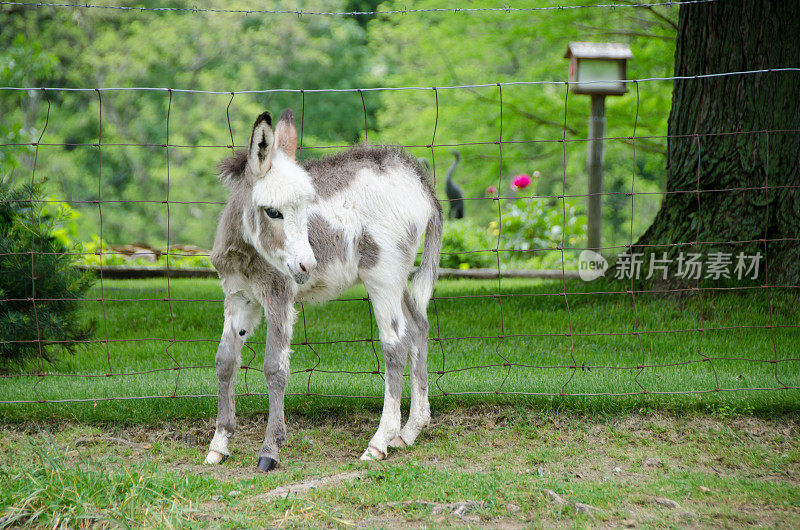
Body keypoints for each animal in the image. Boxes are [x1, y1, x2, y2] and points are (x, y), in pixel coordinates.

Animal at [205, 108, 444, 470]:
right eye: (272, 212)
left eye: (307, 208)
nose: (307, 266)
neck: (246, 250)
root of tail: (415, 176)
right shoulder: (239, 298)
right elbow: (225, 361)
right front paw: (219, 444)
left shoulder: (278, 297)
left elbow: (274, 368)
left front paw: (269, 451)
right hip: (398, 277)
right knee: (418, 328)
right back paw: (410, 431)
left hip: (383, 275)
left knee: (395, 346)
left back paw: (379, 442)